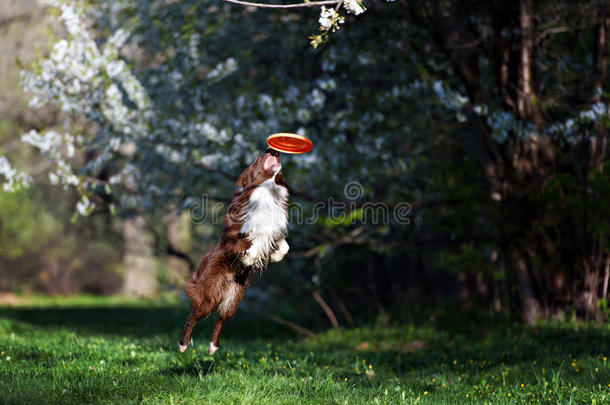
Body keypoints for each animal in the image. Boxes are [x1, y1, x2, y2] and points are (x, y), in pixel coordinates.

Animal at [178, 148, 288, 354]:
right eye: (259, 159)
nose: (272, 150)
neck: (269, 192)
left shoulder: (275, 230)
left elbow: (284, 245)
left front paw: (276, 256)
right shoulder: (236, 235)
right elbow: (250, 243)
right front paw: (248, 259)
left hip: (232, 299)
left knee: (220, 320)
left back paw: (213, 347)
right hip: (208, 295)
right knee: (193, 316)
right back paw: (183, 344)